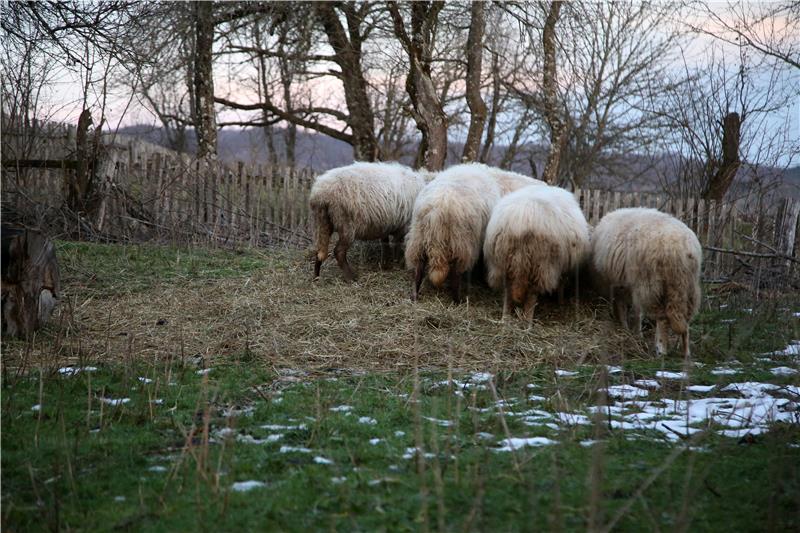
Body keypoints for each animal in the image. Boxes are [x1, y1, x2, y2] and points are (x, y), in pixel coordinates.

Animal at [404, 162, 504, 302]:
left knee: (418, 268)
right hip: (461, 243)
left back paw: (414, 295)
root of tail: (437, 211)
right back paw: (457, 300)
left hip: (418, 238)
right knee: (455, 274)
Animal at [482, 185, 588, 322]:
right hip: (541, 263)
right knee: (532, 293)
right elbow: (561, 285)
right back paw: (528, 319)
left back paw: (505, 317)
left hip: (502, 261)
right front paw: (561, 301)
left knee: (508, 290)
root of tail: (520, 221)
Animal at [592, 208, 704, 358]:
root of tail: (678, 248)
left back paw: (661, 349)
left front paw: (627, 329)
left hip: (651, 285)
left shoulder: (623, 285)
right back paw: (686, 353)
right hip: (687, 287)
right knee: (684, 321)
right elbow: (635, 310)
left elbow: (625, 308)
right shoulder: (627, 285)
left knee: (662, 318)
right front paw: (634, 332)